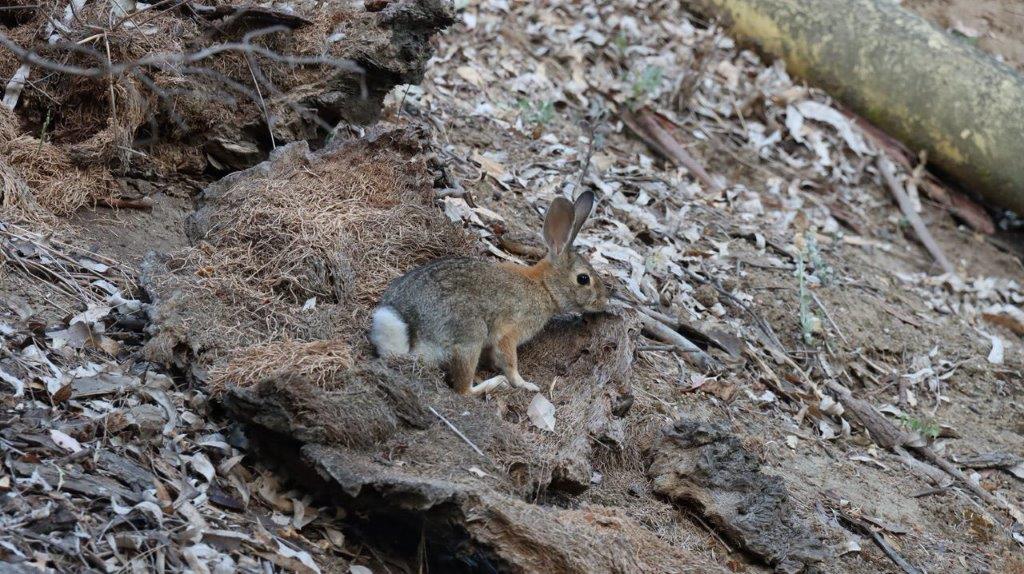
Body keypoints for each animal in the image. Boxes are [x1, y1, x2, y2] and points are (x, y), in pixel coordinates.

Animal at [370, 192, 602, 392]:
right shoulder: (509, 333)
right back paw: (495, 383)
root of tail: (410, 338)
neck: (544, 287)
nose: (604, 298)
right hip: (471, 336)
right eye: (583, 279)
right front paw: (525, 384)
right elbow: (510, 361)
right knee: (463, 390)